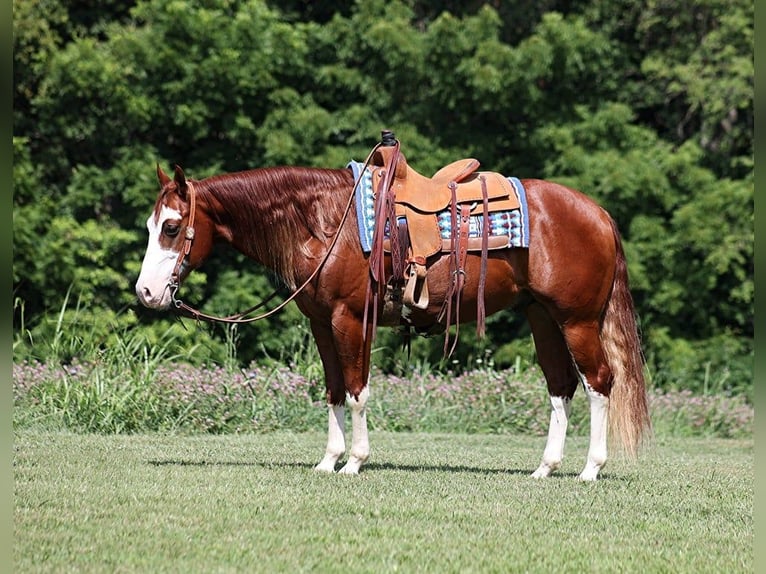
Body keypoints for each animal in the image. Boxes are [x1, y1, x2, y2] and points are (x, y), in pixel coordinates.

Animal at [135, 142, 651, 481]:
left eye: (172, 226)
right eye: (150, 226)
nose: (146, 292)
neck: (326, 221)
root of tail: (600, 215)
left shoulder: (349, 318)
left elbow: (357, 391)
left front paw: (355, 462)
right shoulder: (321, 323)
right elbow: (333, 391)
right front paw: (329, 460)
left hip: (577, 321)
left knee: (599, 383)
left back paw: (590, 470)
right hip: (542, 317)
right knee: (561, 388)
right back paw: (545, 468)